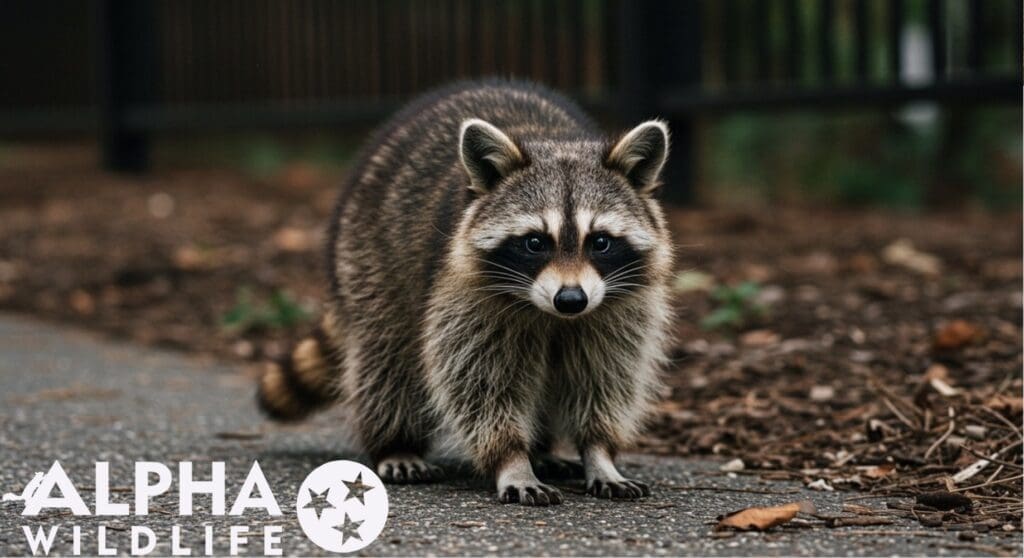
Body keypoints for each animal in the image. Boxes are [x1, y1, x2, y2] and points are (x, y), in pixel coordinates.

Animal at [258, 80, 674, 505]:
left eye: (600, 242)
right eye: (535, 242)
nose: (571, 300)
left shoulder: (617, 306)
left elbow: (606, 375)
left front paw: (599, 452)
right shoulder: (465, 294)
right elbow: (480, 381)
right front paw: (512, 458)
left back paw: (543, 450)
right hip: (368, 254)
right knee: (388, 357)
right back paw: (396, 443)